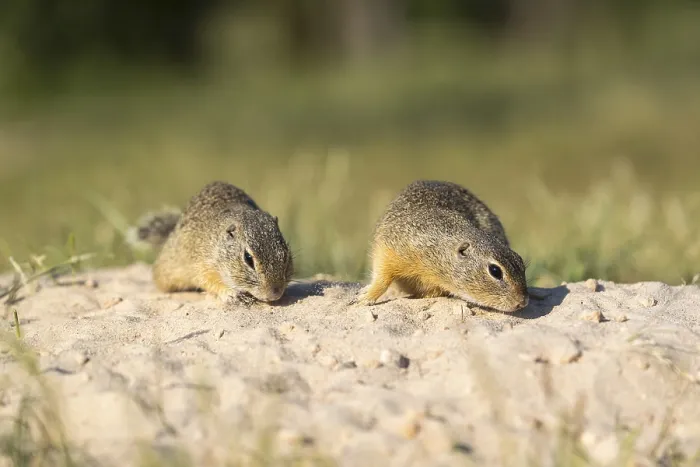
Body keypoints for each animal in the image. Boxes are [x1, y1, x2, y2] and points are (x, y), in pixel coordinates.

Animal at [128, 181, 294, 305]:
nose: (275, 293)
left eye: (286, 255)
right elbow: (207, 281)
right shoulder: (201, 263)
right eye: (248, 258)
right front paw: (230, 293)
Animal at [355, 180, 529, 312]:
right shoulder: (390, 248)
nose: (523, 301)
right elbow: (381, 277)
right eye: (495, 271)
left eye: (521, 262)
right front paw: (365, 297)